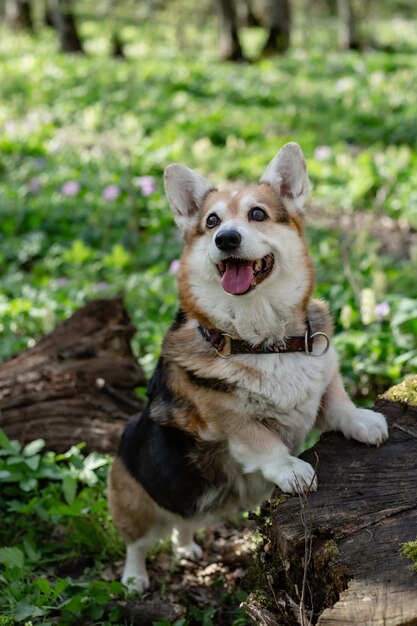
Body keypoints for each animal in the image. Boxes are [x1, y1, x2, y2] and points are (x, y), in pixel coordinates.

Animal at [107, 140, 386, 588]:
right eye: (212, 221)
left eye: (257, 214)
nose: (226, 238)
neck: (262, 343)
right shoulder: (226, 419)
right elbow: (261, 438)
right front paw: (291, 469)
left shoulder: (322, 378)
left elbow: (338, 401)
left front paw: (363, 420)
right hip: (141, 498)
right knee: (139, 543)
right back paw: (135, 579)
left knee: (184, 523)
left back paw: (187, 547)